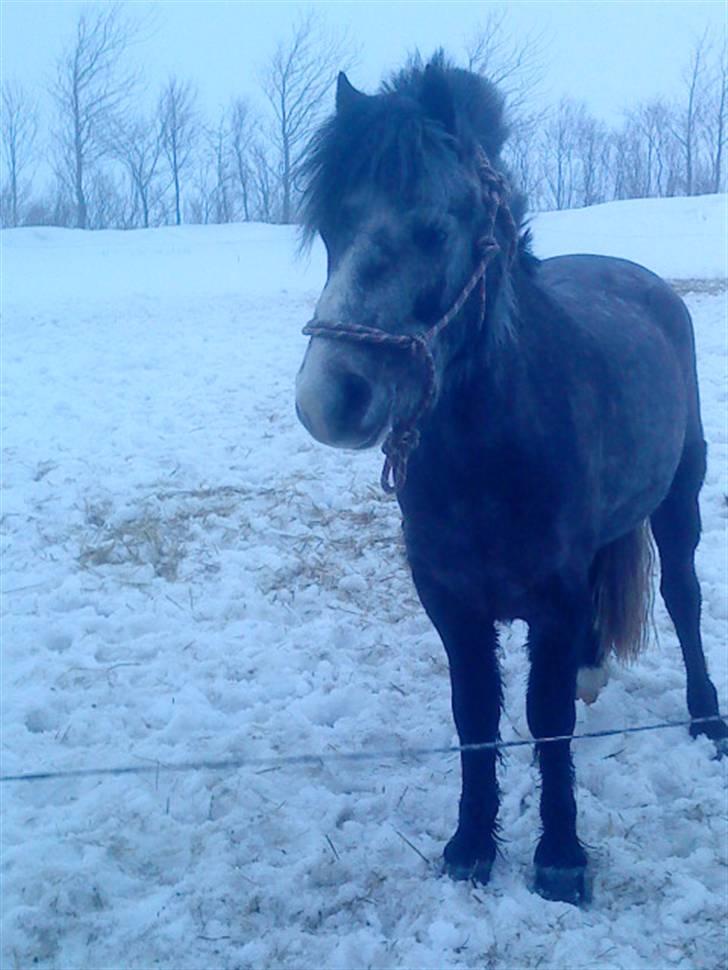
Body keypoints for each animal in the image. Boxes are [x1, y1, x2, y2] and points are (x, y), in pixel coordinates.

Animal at [292, 54, 724, 900]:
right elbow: (476, 717)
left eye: (434, 229)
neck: (487, 455)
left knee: (685, 601)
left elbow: (547, 720)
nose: (328, 397)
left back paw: (704, 717)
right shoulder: (451, 601)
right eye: (330, 230)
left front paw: (559, 855)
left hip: (678, 501)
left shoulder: (550, 601)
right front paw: (470, 844)